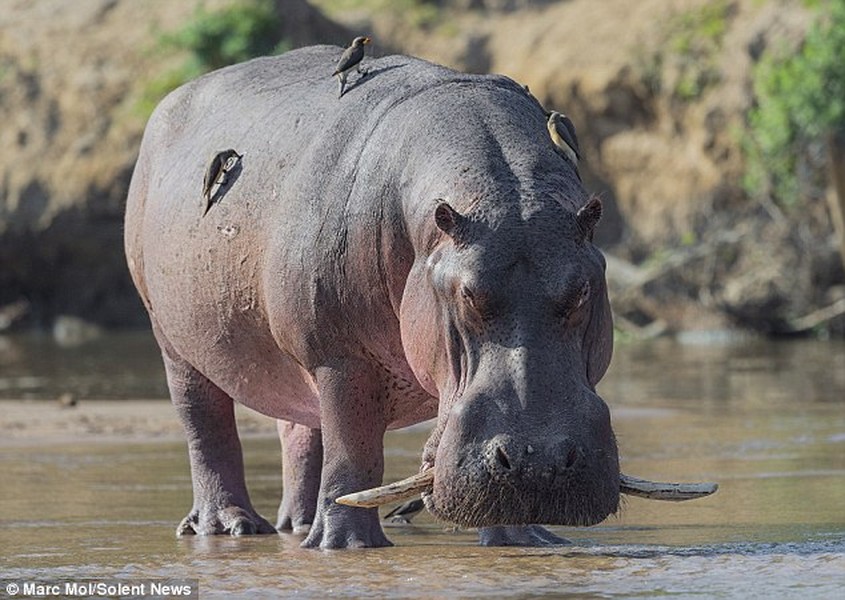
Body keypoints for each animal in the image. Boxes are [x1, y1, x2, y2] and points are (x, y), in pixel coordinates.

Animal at [122, 45, 616, 548]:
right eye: (468, 294)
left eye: (582, 291)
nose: (539, 462)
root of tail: (171, 100)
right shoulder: (339, 358)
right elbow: (353, 452)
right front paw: (347, 545)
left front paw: (526, 541)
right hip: (175, 342)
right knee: (206, 426)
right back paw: (232, 526)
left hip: (294, 368)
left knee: (300, 431)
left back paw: (299, 526)